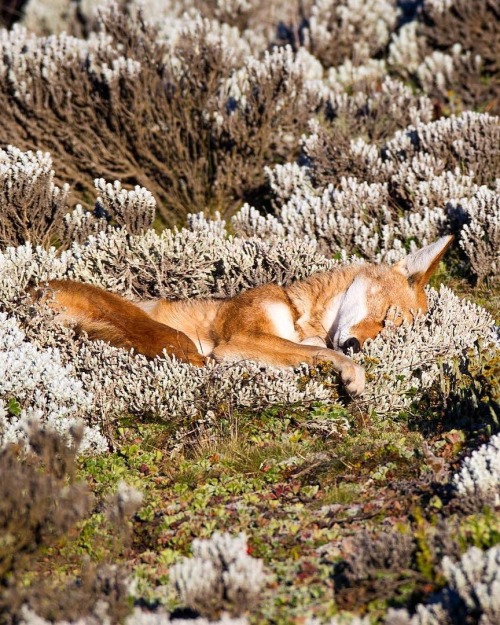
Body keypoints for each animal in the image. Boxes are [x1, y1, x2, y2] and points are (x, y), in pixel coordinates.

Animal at [36, 234, 454, 394]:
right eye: (385, 317)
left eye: (387, 333)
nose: (355, 345)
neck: (297, 311)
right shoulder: (241, 339)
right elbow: (319, 351)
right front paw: (352, 372)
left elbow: (315, 349)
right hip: (176, 340)